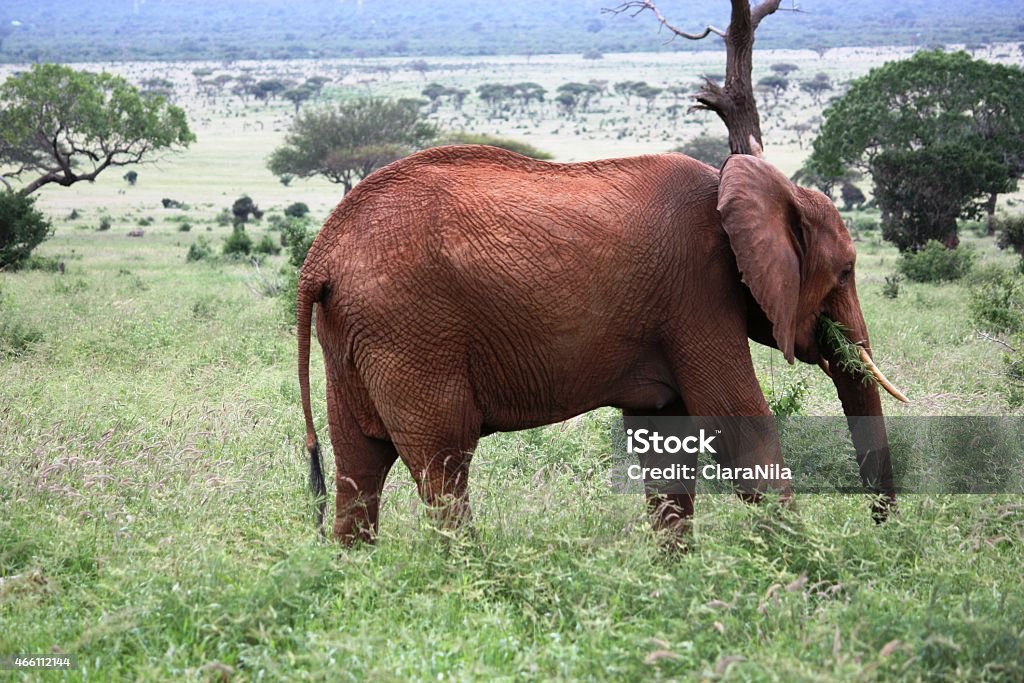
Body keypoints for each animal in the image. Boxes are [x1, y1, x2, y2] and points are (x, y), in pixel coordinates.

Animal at [296, 144, 905, 544]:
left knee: (360, 466)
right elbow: (739, 428)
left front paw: (676, 581)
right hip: (411, 330)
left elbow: (666, 443)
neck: (748, 184)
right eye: (846, 273)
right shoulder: (698, 294)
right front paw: (809, 581)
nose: (881, 532)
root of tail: (319, 258)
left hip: (357, 335)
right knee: (444, 463)